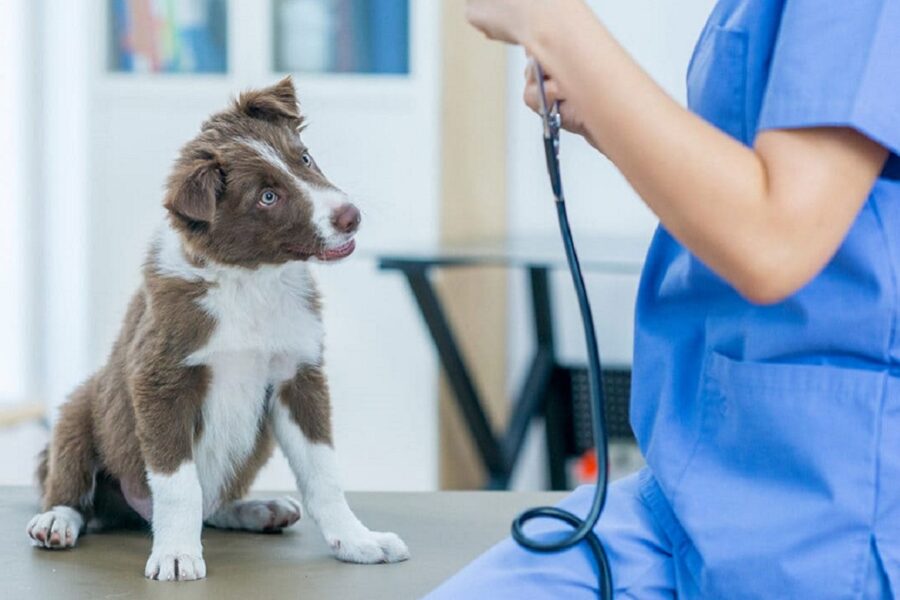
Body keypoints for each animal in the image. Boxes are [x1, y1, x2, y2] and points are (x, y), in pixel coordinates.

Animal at [26, 77, 408, 580]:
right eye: (267, 197)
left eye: (304, 158)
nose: (350, 215)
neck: (251, 282)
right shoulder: (160, 381)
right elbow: (179, 485)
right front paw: (175, 554)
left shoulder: (298, 375)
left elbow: (323, 473)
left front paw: (358, 540)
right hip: (79, 409)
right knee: (71, 485)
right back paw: (57, 519)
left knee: (214, 504)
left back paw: (255, 510)